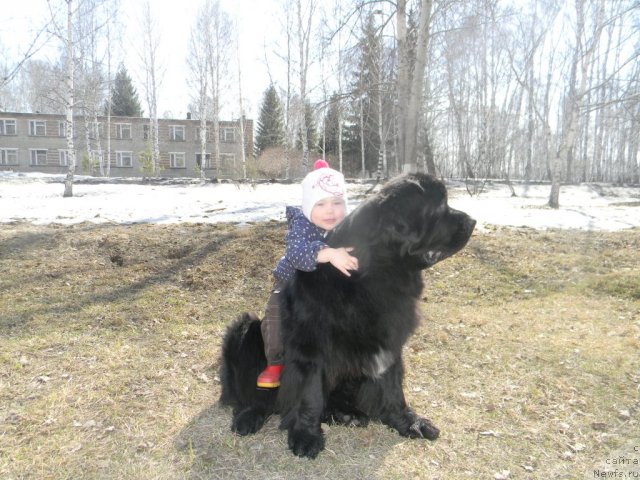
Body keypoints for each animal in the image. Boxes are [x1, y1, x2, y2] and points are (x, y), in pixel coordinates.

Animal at [220, 172, 476, 458]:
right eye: (439, 208)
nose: (473, 221)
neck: (375, 272)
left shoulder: (388, 341)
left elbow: (393, 387)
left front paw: (409, 422)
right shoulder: (311, 348)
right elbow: (310, 395)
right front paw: (306, 436)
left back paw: (345, 413)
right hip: (246, 330)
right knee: (251, 394)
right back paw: (248, 416)